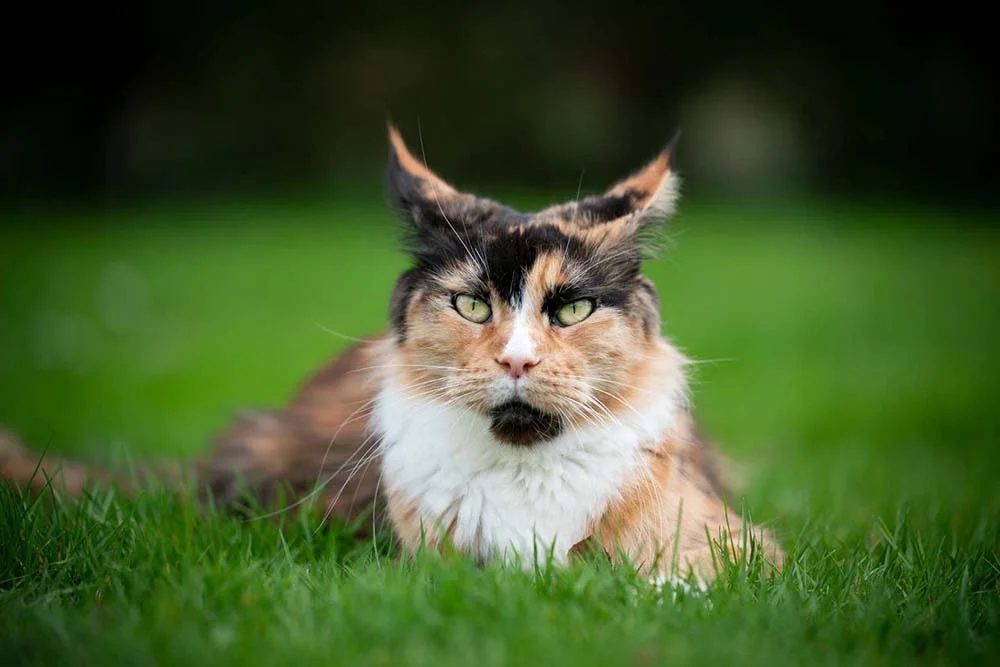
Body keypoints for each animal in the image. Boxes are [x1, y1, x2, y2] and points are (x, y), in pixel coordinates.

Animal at [0, 124, 780, 584]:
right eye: (472, 305)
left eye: (572, 309)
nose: (517, 362)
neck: (522, 471)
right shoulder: (427, 562)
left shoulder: (738, 546)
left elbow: (671, 578)